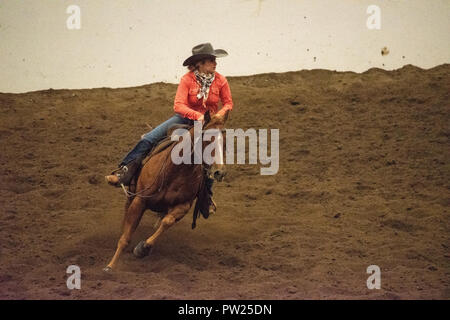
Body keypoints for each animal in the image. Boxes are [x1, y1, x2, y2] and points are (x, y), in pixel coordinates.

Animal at [103, 111, 227, 272]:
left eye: (225, 142)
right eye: (207, 140)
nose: (220, 172)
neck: (176, 169)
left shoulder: (183, 205)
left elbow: (167, 222)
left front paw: (143, 248)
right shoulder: (140, 200)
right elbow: (125, 238)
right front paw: (110, 266)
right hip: (131, 194)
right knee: (126, 212)